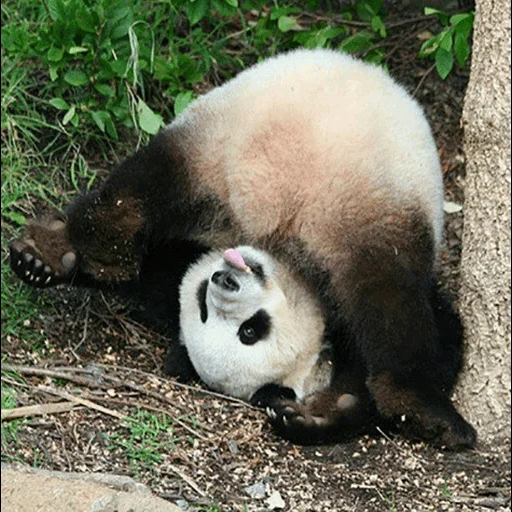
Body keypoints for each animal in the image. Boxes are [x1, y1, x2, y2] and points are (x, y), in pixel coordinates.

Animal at [9, 48, 476, 448]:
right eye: (205, 308)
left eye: (251, 330)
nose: (224, 278)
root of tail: (269, 199)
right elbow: (441, 334)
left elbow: (155, 270)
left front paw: (313, 416)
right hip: (268, 173)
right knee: (391, 301)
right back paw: (427, 411)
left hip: (220, 151)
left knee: (136, 195)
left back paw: (59, 255)